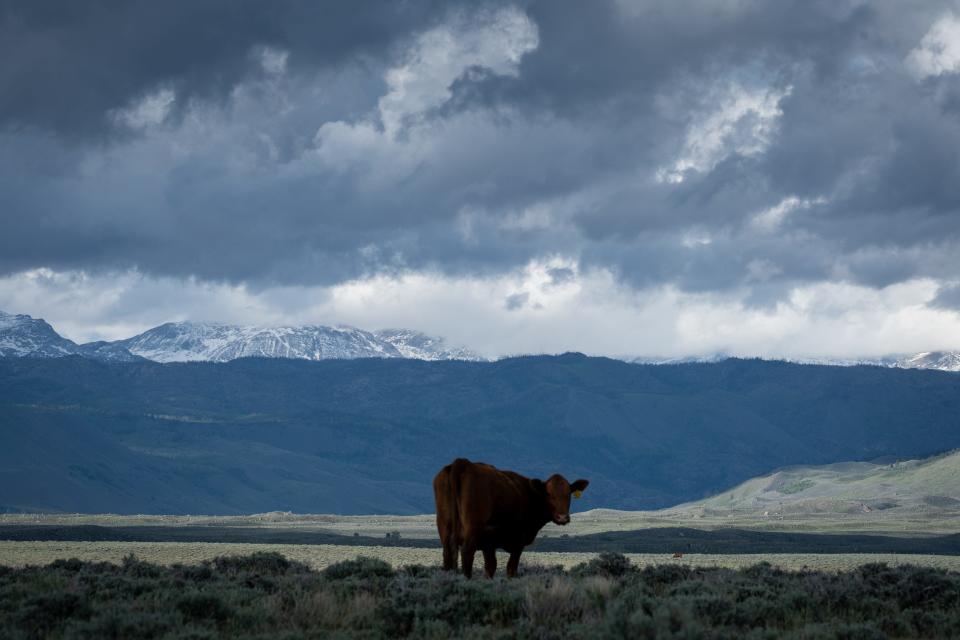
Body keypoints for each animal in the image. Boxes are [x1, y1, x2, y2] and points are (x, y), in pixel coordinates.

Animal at [434, 458, 584, 576]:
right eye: (548, 494)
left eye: (569, 494)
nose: (562, 517)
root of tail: (463, 463)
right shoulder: (517, 543)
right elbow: (510, 569)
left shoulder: (489, 544)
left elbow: (490, 567)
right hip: (472, 530)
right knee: (467, 554)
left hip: (444, 528)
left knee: (448, 554)